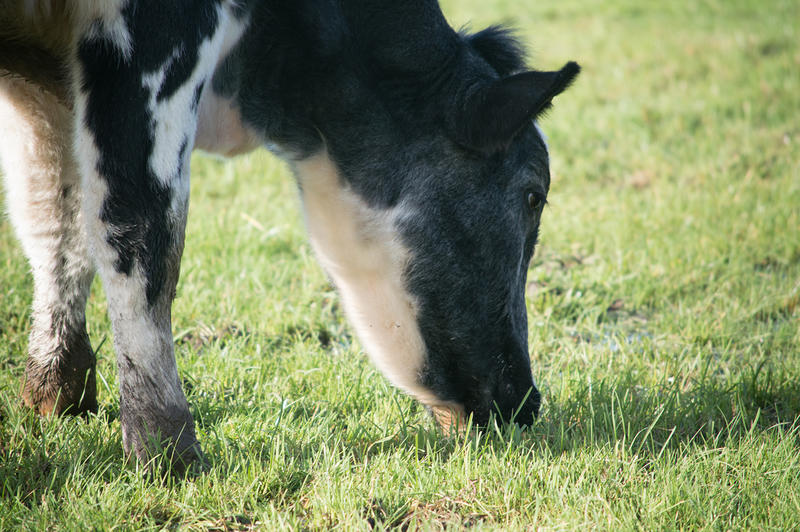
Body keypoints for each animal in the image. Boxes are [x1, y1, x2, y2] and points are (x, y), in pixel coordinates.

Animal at [0, 0, 576, 470]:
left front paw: (56, 393)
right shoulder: (151, 45)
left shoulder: (46, 80)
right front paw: (168, 450)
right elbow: (141, 231)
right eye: (535, 194)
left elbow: (55, 217)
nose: (525, 400)